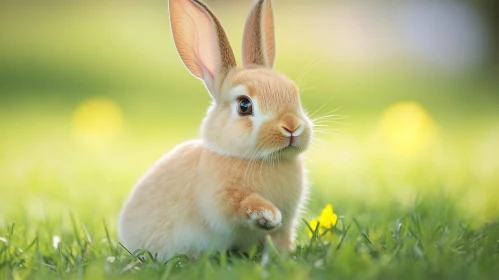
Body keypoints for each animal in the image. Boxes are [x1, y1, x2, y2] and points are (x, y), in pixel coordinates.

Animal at [117, 0, 314, 262]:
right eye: (244, 105)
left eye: (294, 93)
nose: (292, 127)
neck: (262, 160)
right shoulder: (223, 199)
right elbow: (244, 204)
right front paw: (268, 215)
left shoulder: (287, 225)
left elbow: (282, 237)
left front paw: (284, 253)